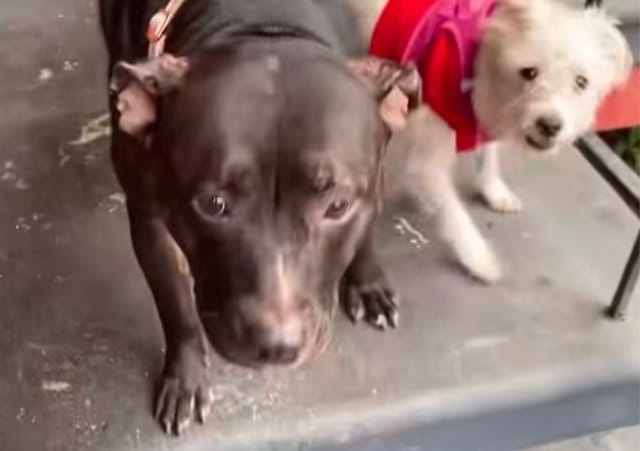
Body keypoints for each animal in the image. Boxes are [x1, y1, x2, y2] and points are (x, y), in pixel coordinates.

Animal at [358, 0, 632, 282]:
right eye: (529, 72)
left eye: (581, 81)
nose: (550, 126)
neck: (480, 63)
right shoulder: (428, 162)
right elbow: (454, 214)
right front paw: (478, 258)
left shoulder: (482, 118)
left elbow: (488, 155)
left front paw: (493, 191)